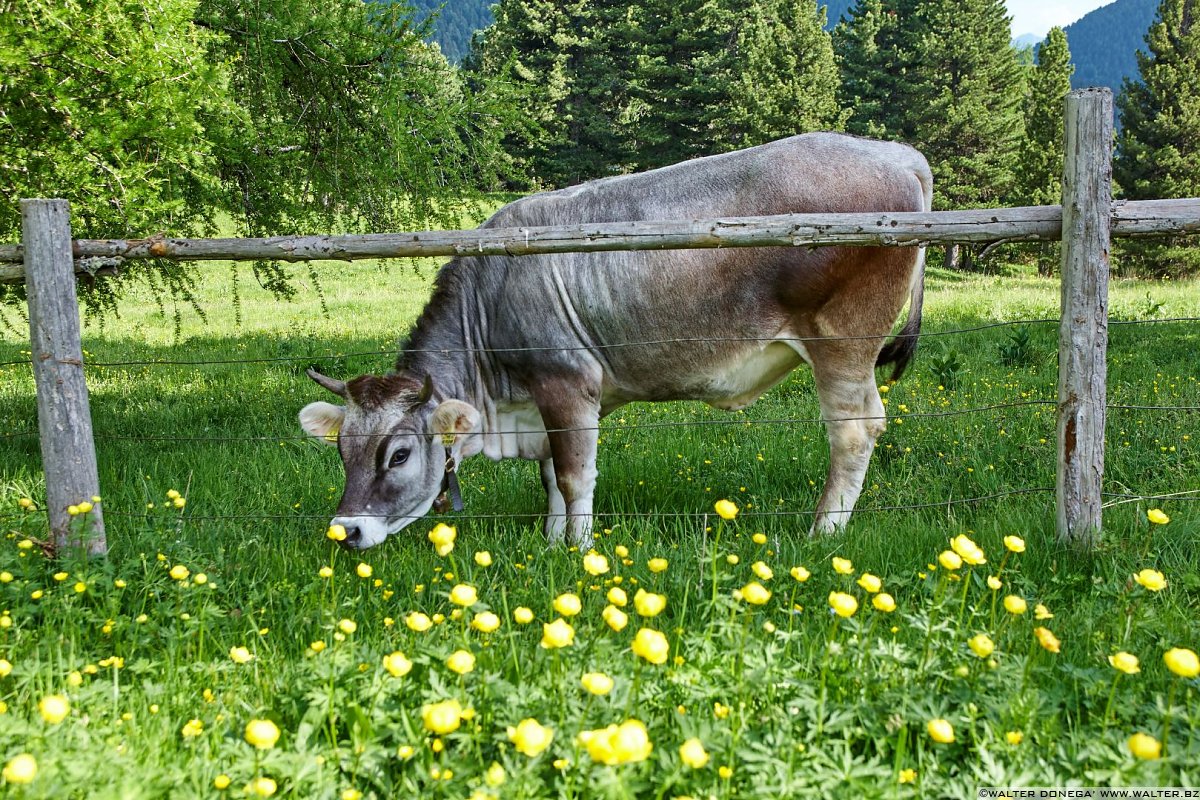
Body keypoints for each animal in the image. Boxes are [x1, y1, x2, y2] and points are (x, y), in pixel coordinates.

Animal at [297, 134, 926, 554]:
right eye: (341, 449)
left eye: (399, 454)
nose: (345, 530)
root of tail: (894, 154)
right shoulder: (541, 400)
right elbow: (551, 475)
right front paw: (551, 541)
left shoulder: (567, 382)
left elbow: (574, 475)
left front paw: (577, 551)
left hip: (842, 340)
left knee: (854, 431)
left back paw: (823, 530)